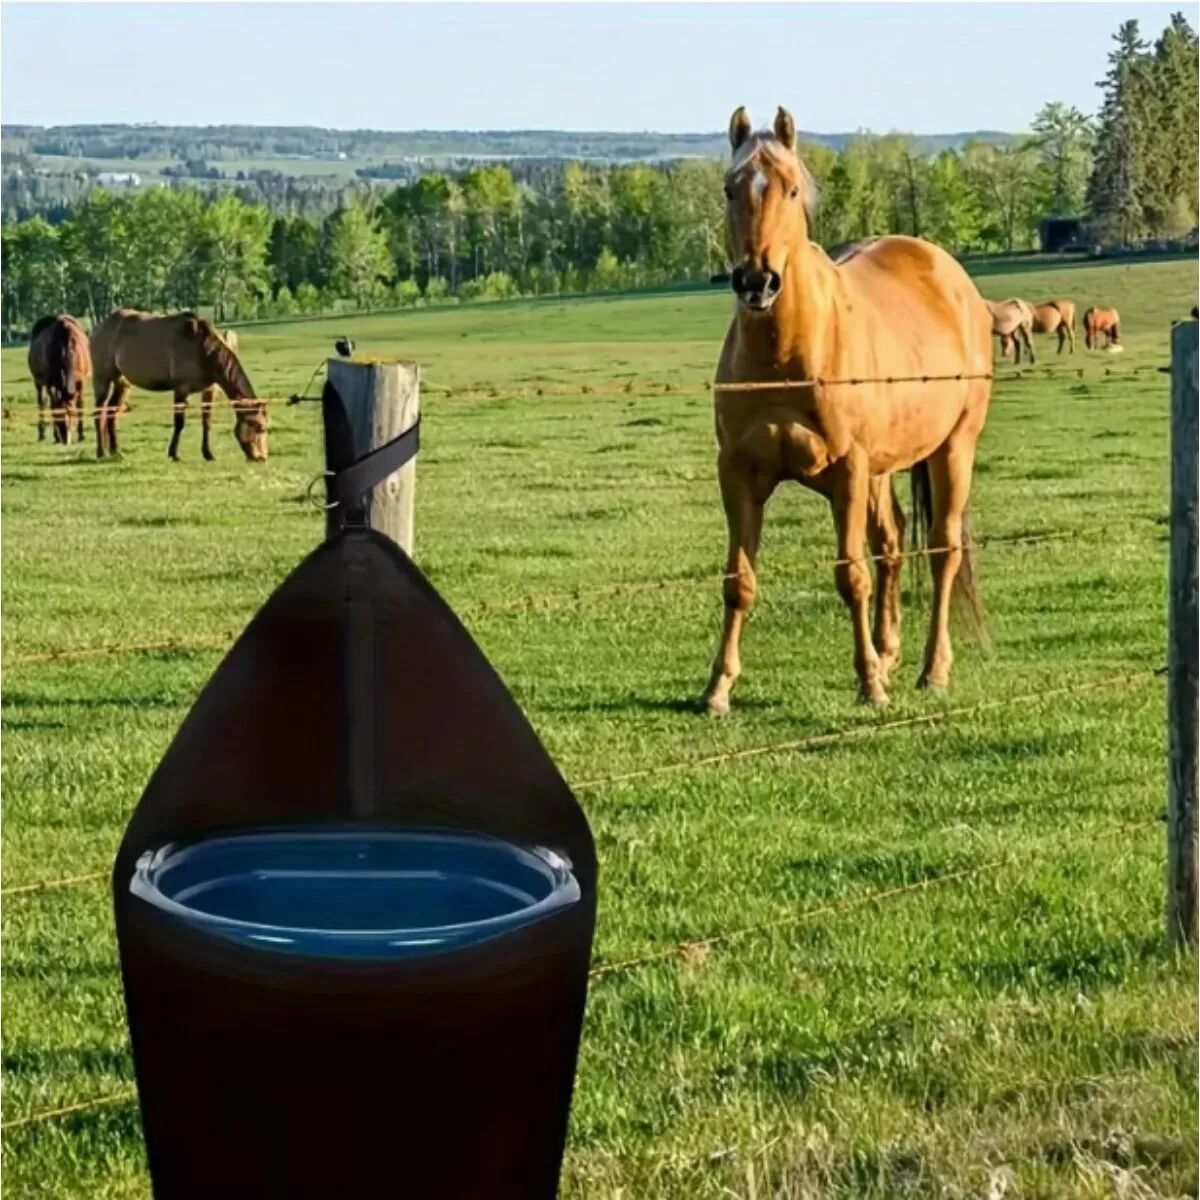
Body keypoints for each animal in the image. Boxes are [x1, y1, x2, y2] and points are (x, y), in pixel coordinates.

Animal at [28, 314, 92, 445]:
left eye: (72, 414)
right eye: (58, 416)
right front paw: (56, 436)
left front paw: (81, 435)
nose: (65, 439)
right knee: (41, 402)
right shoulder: (51, 382)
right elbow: (53, 405)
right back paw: (41, 434)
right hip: (38, 381)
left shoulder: (81, 380)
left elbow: (80, 403)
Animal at [90, 310, 268, 461]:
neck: (203, 350)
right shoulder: (181, 389)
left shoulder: (209, 390)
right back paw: (101, 452)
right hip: (102, 379)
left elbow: (207, 421)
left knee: (111, 411)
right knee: (99, 411)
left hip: (122, 382)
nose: (261, 457)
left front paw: (208, 453)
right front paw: (174, 454)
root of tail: (98, 328)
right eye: (258, 426)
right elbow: (179, 423)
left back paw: (115, 450)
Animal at [703, 106, 991, 712]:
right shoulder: (738, 472)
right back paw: (889, 653)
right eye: (730, 189)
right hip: (883, 470)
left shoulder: (849, 470)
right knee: (893, 544)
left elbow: (851, 574)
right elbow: (738, 581)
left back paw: (932, 669)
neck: (785, 353)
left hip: (954, 448)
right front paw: (718, 687)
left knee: (941, 550)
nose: (756, 281)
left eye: (791, 189)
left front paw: (868, 683)